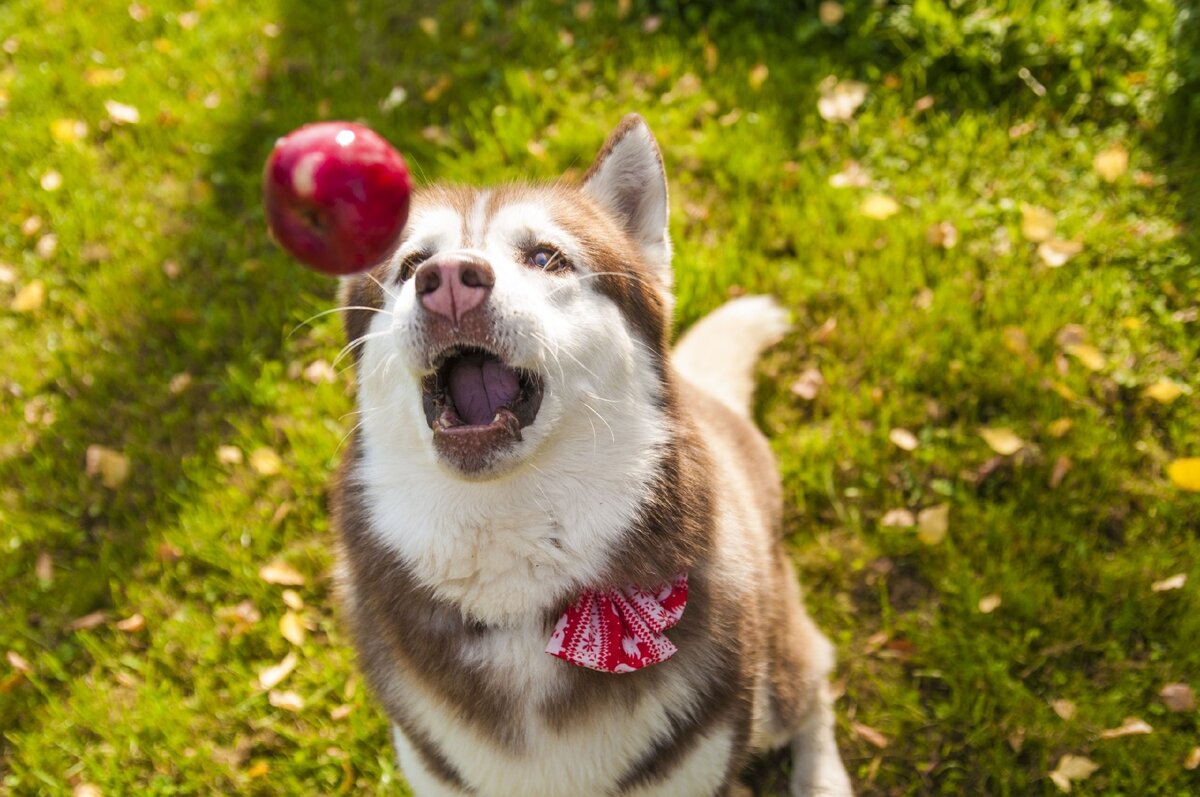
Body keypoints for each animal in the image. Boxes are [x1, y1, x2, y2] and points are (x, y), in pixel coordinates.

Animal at [328, 113, 854, 797]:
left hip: (774, 674)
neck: (523, 604)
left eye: (545, 258)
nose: (446, 283)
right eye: (411, 264)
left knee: (815, 688)